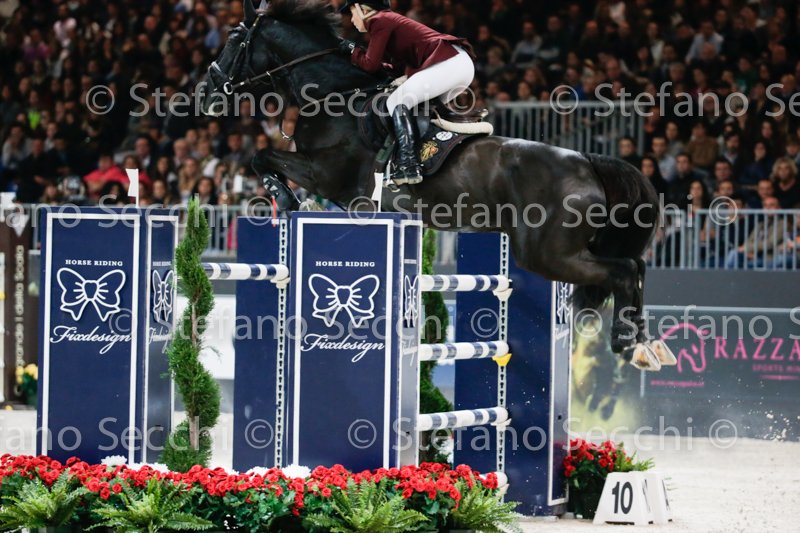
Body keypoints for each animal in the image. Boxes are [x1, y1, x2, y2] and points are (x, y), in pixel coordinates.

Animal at [198, 0, 674, 370]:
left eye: (234, 39)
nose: (203, 93)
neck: (335, 96)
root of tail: (589, 162)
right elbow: (266, 159)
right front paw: (293, 202)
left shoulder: (326, 172)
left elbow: (262, 156)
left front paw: (285, 199)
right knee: (637, 266)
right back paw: (647, 345)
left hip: (546, 253)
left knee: (624, 269)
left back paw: (629, 344)